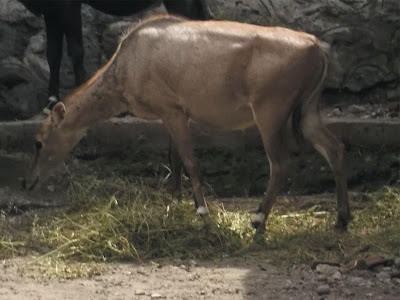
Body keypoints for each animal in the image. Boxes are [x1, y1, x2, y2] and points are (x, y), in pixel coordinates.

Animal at [23, 15, 352, 233]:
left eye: (39, 141)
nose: (28, 182)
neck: (123, 70)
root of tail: (318, 49)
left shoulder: (172, 109)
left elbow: (190, 160)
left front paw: (203, 211)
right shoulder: (175, 113)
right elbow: (176, 159)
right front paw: (175, 201)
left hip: (270, 111)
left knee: (281, 163)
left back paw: (258, 220)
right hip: (308, 108)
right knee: (335, 147)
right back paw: (342, 218)